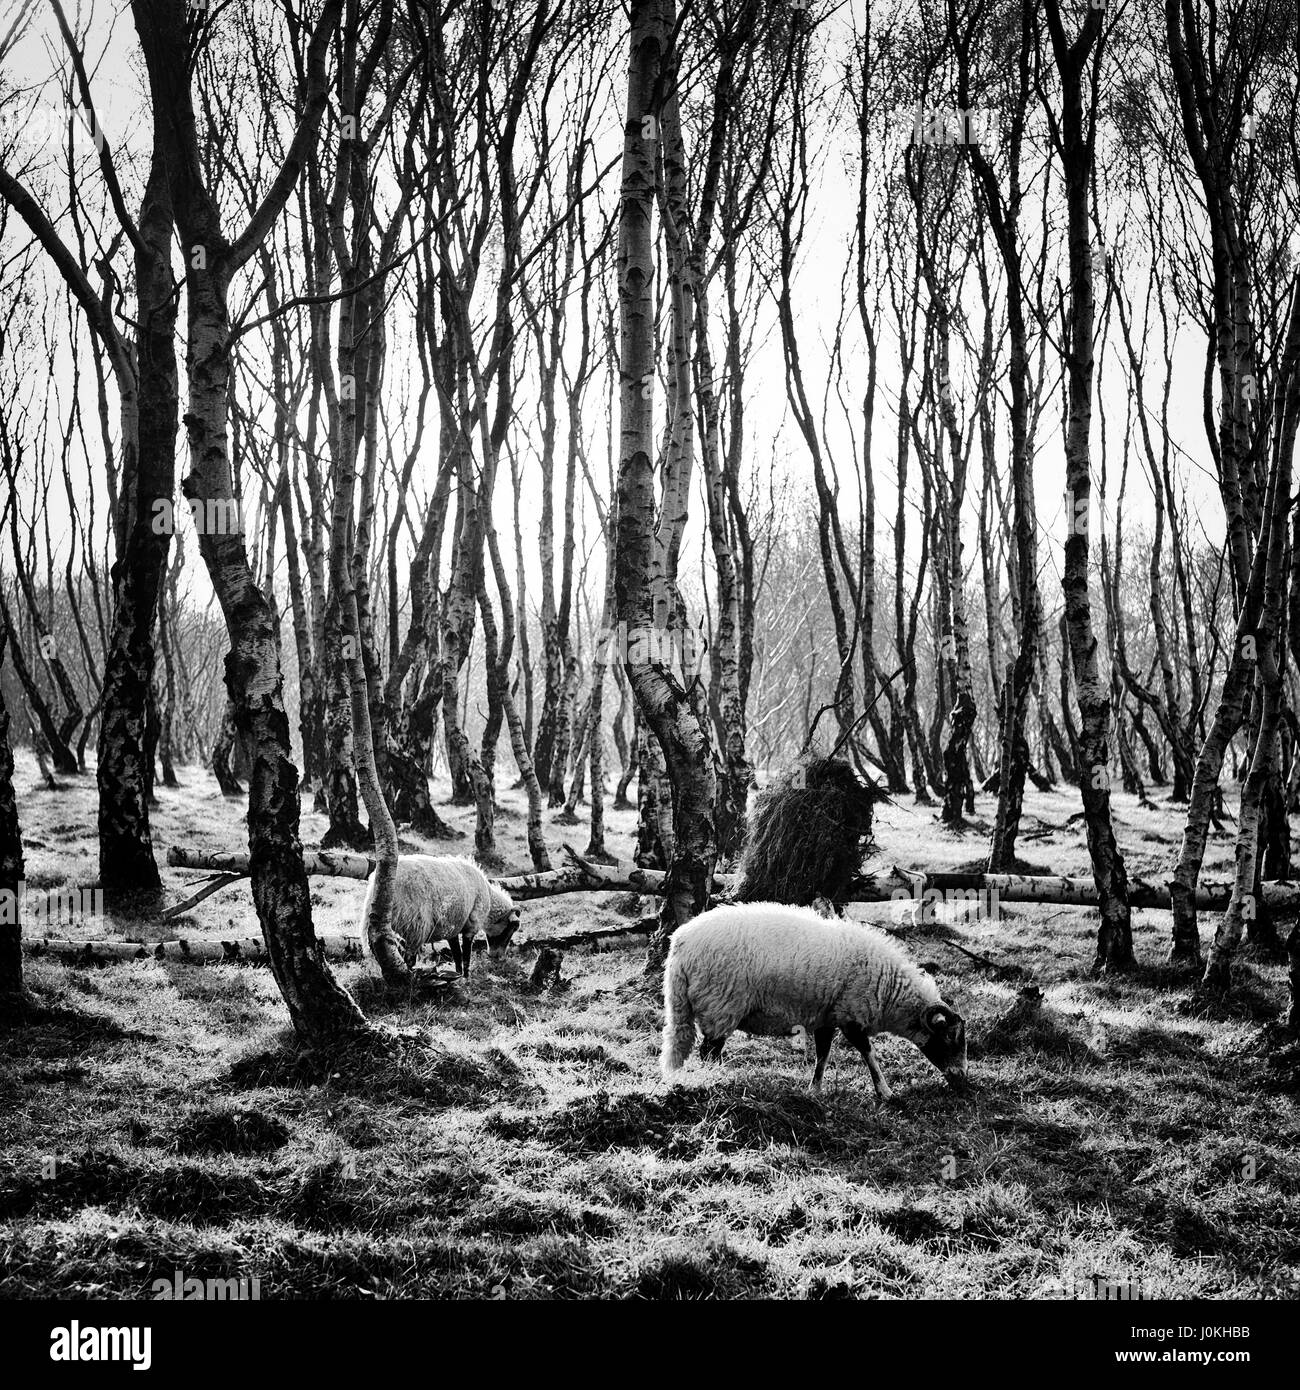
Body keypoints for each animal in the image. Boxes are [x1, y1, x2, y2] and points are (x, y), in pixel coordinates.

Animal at [361, 850, 522, 984]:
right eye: (511, 929)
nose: (498, 957)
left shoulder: (453, 926)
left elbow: (457, 953)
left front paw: (458, 975)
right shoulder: (471, 924)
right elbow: (466, 954)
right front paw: (466, 977)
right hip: (416, 923)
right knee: (409, 958)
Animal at [664, 900, 962, 1106]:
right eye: (949, 1038)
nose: (962, 1080)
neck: (889, 989)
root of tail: (681, 943)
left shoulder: (827, 1017)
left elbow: (823, 1054)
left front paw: (815, 1090)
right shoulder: (851, 1015)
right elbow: (869, 1053)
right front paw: (886, 1092)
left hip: (690, 1004)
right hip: (721, 1003)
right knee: (709, 1051)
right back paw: (716, 1080)